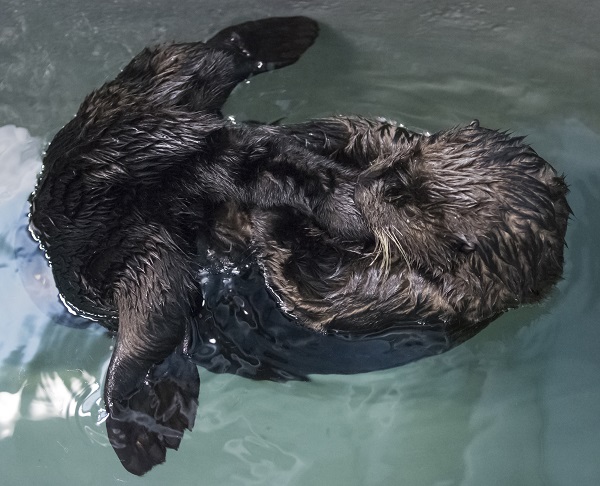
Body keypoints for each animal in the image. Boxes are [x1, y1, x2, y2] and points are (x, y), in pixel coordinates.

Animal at [28, 15, 568, 474]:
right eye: (412, 160)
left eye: (412, 205)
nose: (377, 182)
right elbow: (362, 130)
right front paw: (324, 145)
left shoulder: (395, 299)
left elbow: (304, 280)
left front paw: (298, 209)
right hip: (155, 93)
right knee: (207, 60)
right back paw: (285, 61)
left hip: (131, 257)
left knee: (148, 331)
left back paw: (141, 425)